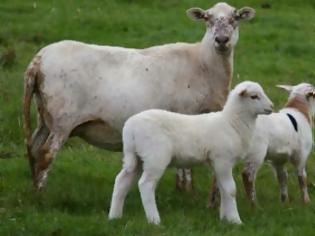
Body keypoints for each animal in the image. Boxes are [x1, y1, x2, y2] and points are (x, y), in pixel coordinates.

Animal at [24, 2, 256, 190]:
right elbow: (187, 167)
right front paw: (188, 191)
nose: (222, 39)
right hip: (63, 119)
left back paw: (34, 189)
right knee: (46, 154)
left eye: (235, 18)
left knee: (34, 150)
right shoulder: (186, 116)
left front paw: (182, 191)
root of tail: (38, 60)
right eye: (208, 19)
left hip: (45, 116)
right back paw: (41, 195)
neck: (202, 62)